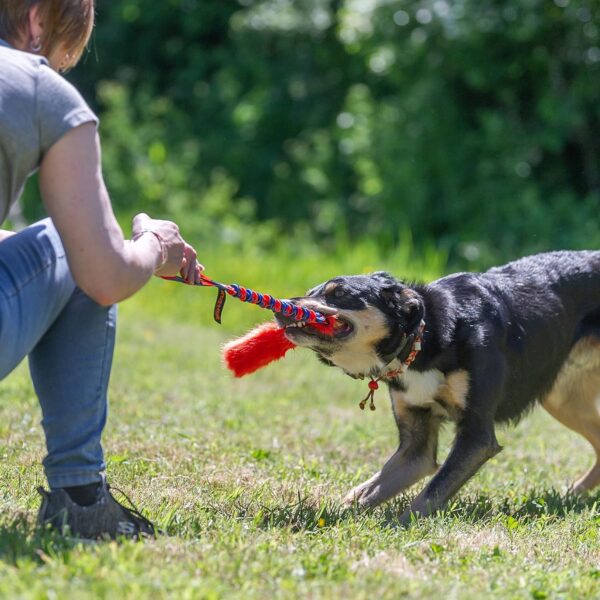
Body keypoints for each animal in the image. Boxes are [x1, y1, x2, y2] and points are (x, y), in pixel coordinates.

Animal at [276, 251, 600, 524]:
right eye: (310, 293)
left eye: (340, 293)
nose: (281, 310)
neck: (426, 336)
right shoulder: (416, 450)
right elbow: (366, 491)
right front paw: (334, 516)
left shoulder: (477, 437)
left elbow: (430, 494)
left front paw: (399, 525)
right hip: (562, 401)